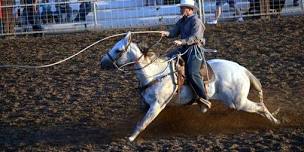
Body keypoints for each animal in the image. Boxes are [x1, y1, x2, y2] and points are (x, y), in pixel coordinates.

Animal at [100, 31, 280, 141]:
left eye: (118, 50)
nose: (101, 62)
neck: (155, 74)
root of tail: (242, 69)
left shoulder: (157, 105)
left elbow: (143, 122)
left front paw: (131, 138)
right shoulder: (146, 104)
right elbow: (141, 118)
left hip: (239, 102)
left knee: (260, 107)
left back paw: (276, 122)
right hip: (234, 102)